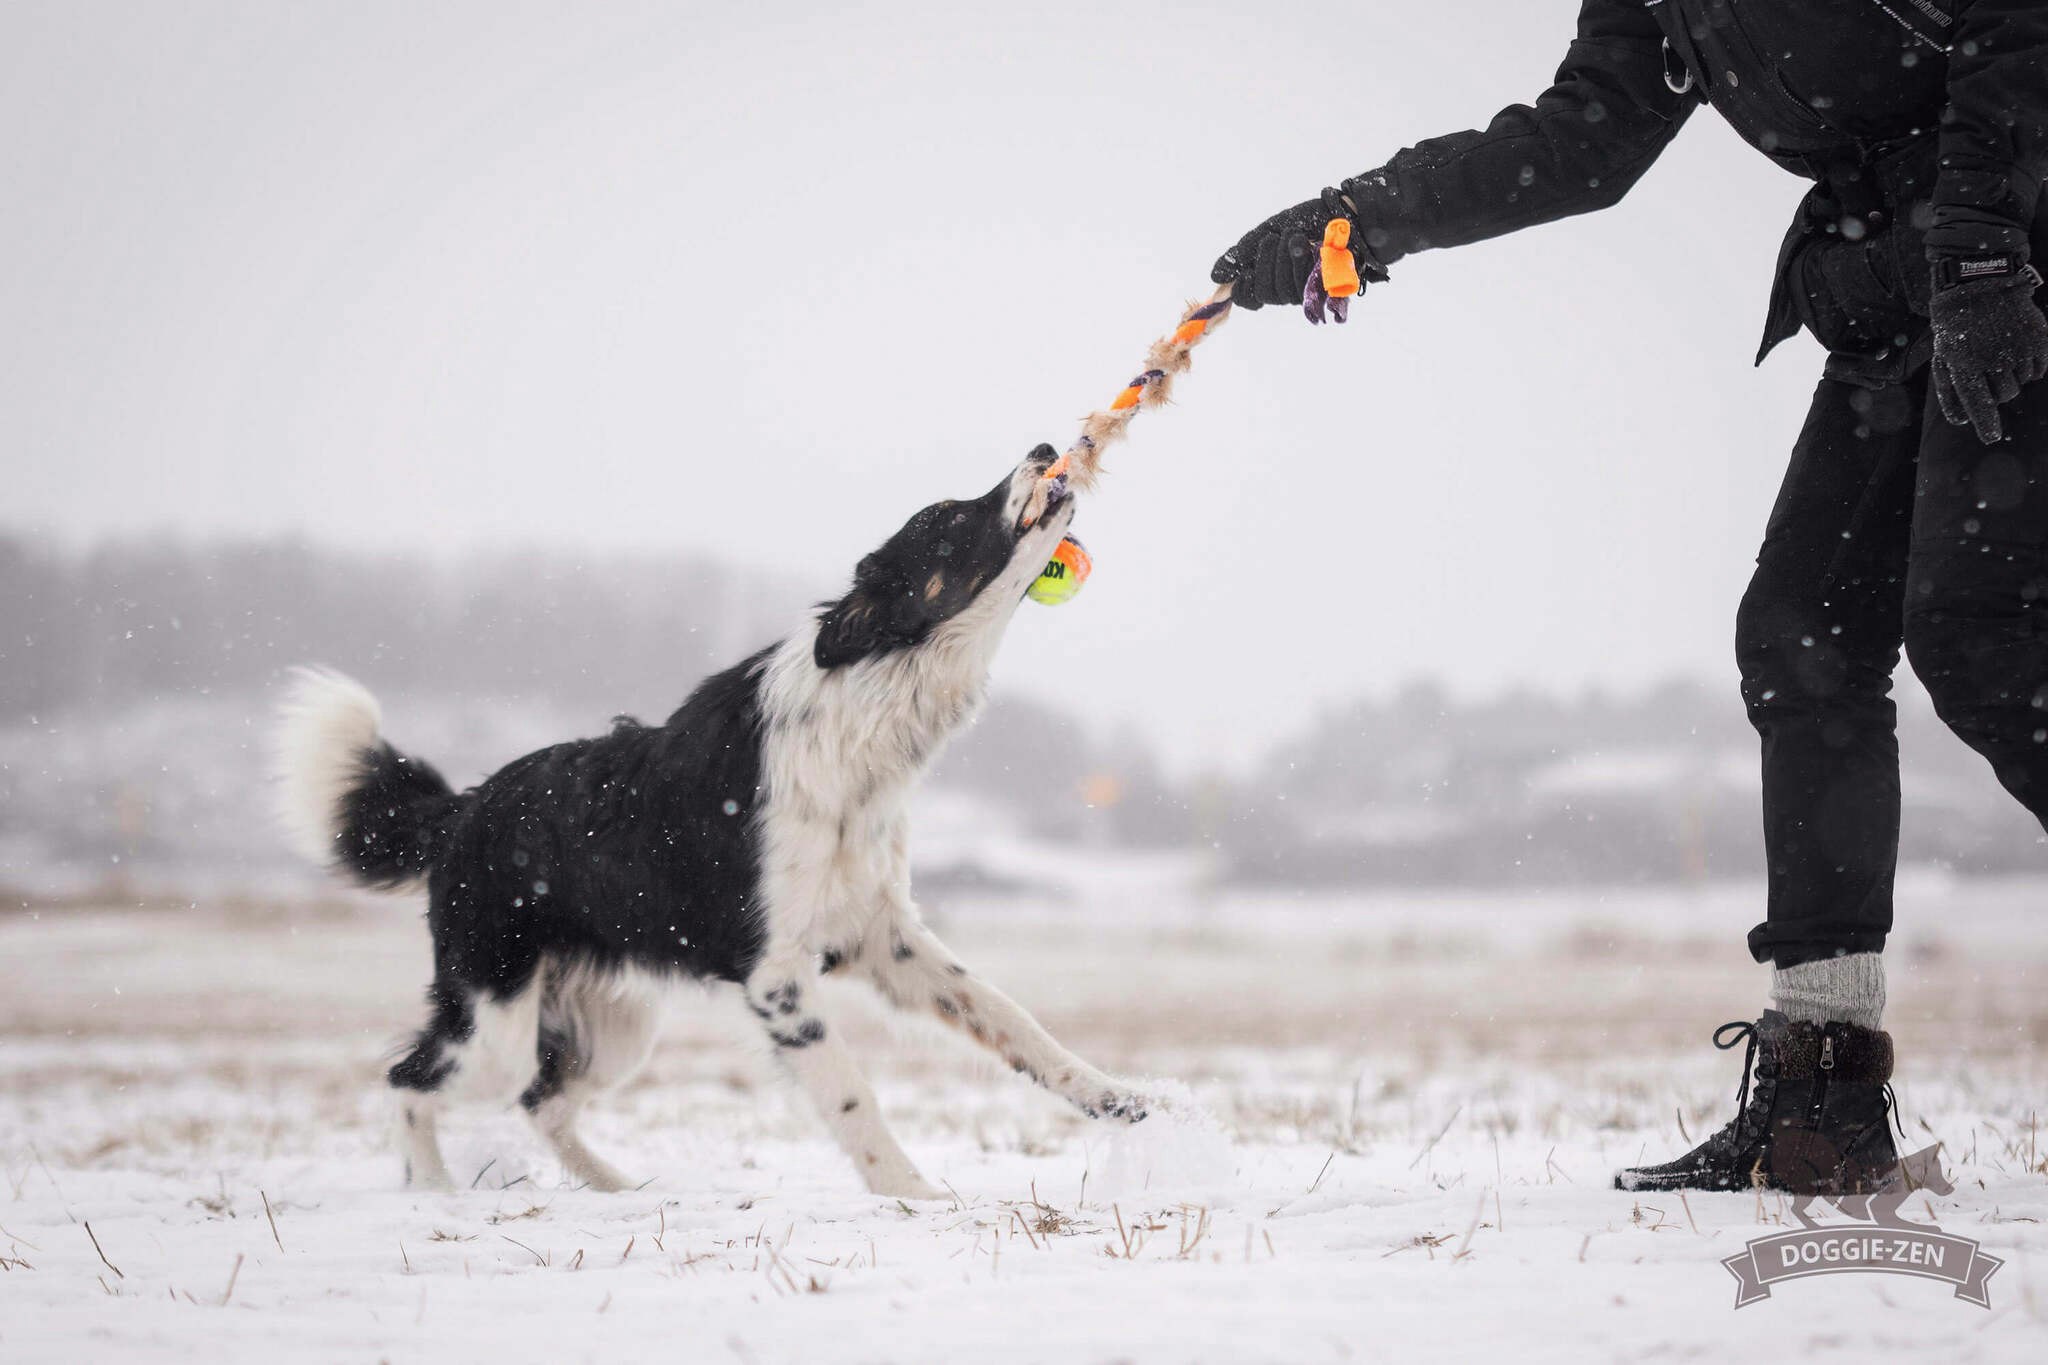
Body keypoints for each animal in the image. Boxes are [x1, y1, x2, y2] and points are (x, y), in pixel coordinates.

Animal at [272, 446, 1146, 1195]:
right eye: (944, 516)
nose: (1044, 448)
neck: (863, 713)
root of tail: (461, 808)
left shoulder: (883, 936)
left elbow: (1008, 1016)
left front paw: (1108, 1095)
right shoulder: (776, 976)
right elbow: (850, 1092)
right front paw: (914, 1195)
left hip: (616, 1022)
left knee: (541, 1099)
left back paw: (615, 1189)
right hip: (492, 1018)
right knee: (412, 1079)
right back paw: (435, 1190)